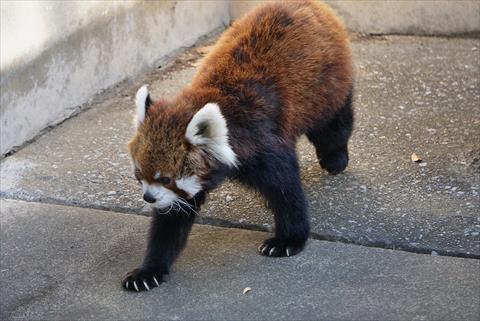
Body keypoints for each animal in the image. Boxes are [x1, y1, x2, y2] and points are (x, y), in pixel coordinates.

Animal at [124, 0, 352, 290]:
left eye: (165, 179)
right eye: (139, 175)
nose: (149, 198)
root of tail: (310, 5)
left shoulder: (264, 144)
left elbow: (286, 191)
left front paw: (288, 240)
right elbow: (173, 219)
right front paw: (149, 270)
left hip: (324, 84)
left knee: (332, 124)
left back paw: (335, 158)